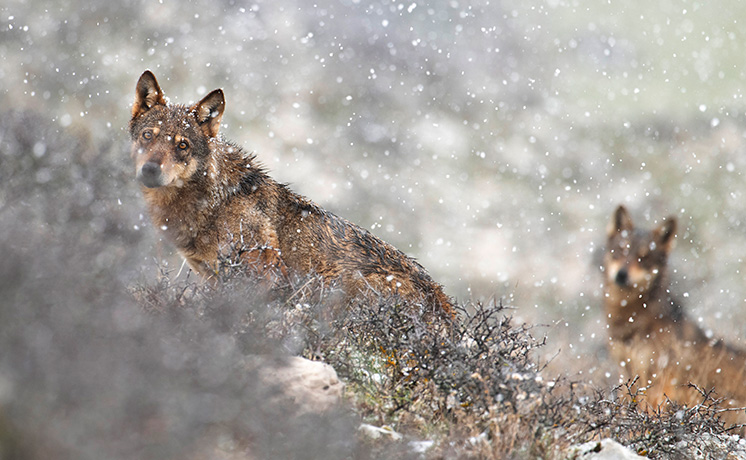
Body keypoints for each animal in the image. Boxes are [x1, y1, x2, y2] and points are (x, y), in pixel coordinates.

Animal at [129, 70, 454, 320]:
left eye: (182, 145)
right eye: (148, 136)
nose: (150, 170)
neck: (214, 200)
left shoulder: (262, 273)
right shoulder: (211, 276)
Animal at [600, 205, 740, 428]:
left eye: (644, 258)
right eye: (621, 251)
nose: (621, 274)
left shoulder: (659, 377)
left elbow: (648, 410)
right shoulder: (626, 369)